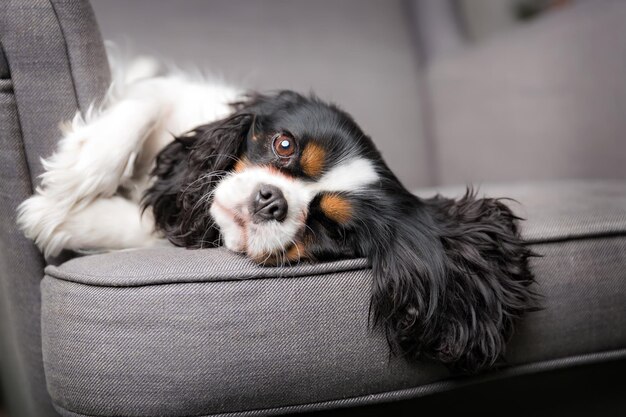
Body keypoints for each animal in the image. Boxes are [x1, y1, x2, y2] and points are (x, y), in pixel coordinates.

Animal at [19, 62, 536, 374]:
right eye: (283, 144)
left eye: (330, 227)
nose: (272, 201)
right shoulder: (179, 96)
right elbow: (146, 102)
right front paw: (77, 170)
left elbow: (142, 227)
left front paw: (53, 215)